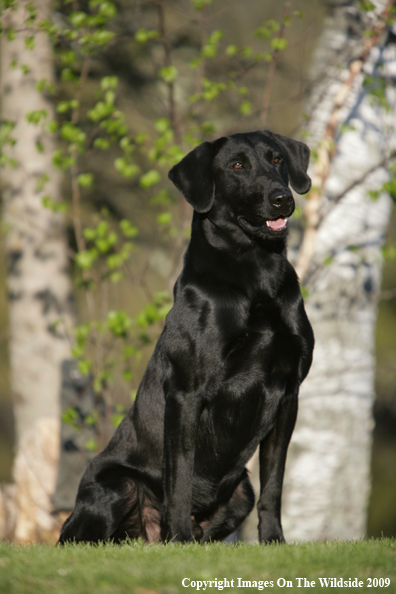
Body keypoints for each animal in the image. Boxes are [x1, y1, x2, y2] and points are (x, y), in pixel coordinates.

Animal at [58, 128, 312, 540]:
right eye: (237, 165)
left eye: (276, 159)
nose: (282, 198)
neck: (255, 277)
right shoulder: (185, 393)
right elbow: (180, 477)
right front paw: (179, 538)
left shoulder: (289, 393)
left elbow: (274, 483)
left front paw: (274, 540)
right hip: (116, 486)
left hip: (241, 491)